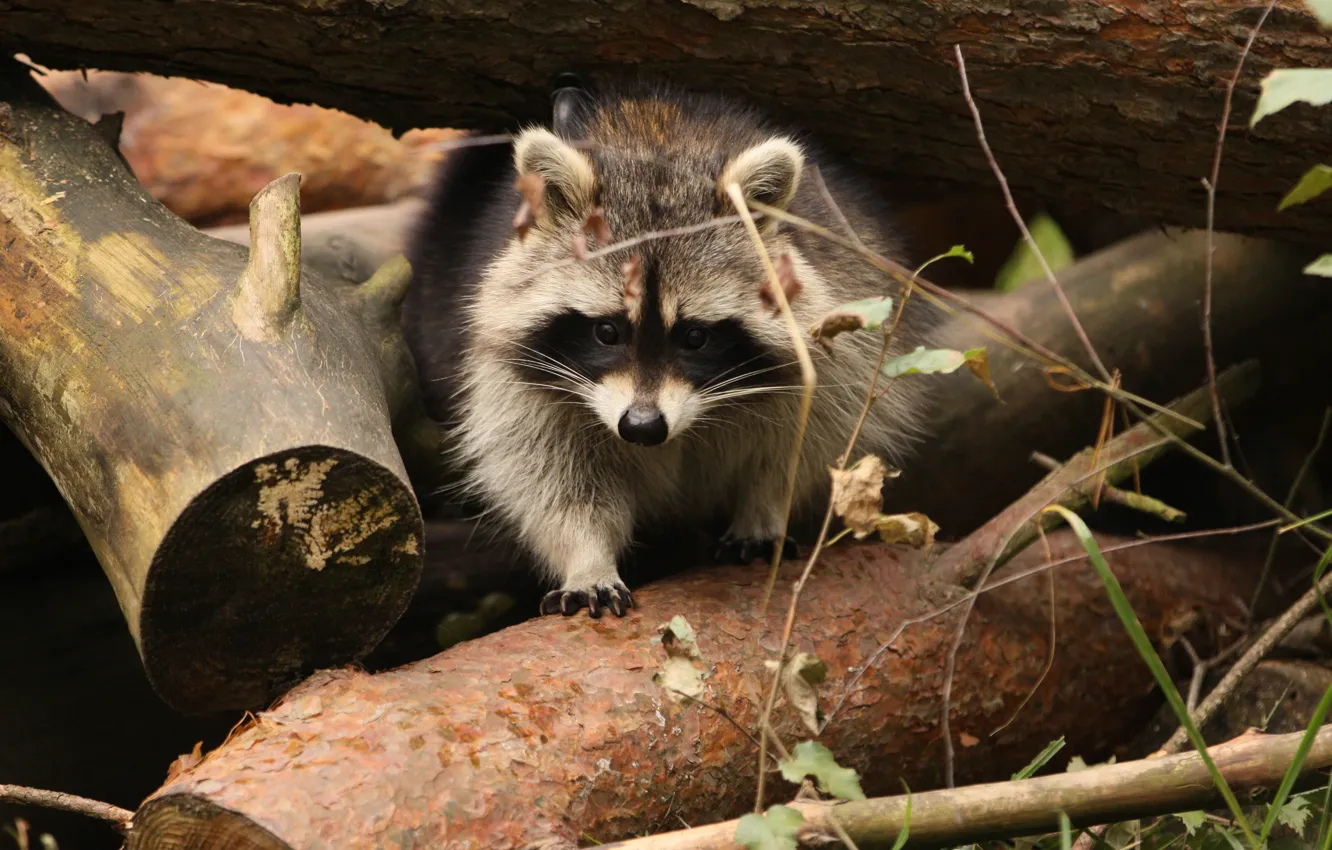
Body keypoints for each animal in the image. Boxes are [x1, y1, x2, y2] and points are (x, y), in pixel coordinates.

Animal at [403, 79, 935, 619]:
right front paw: (587, 557)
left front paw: (764, 508)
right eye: (607, 332)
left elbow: (806, 441)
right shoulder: (513, 372)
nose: (642, 427)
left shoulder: (839, 332)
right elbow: (544, 472)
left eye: (694, 337)